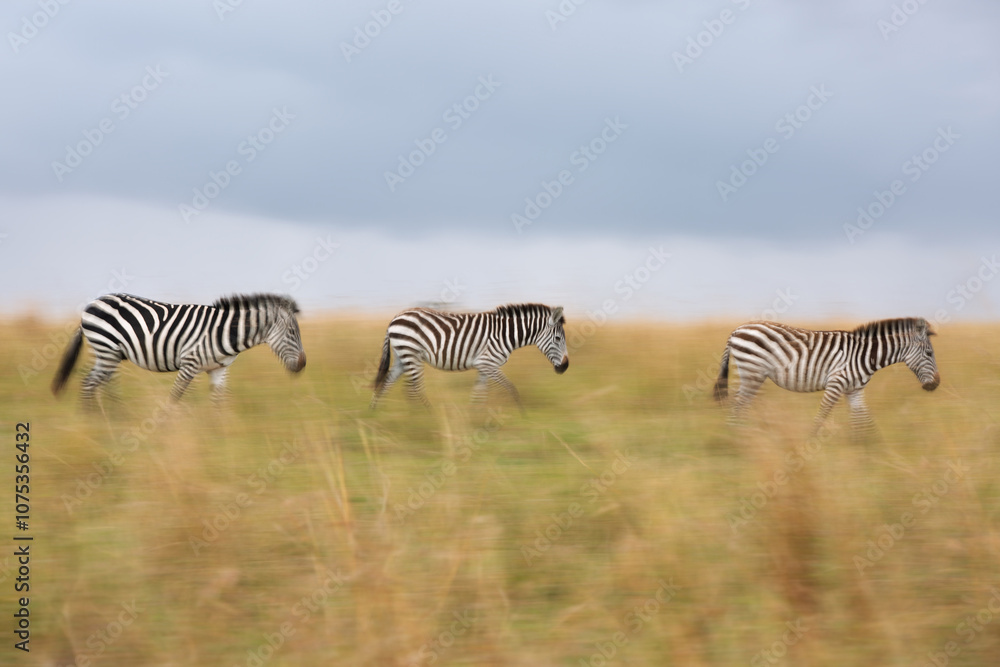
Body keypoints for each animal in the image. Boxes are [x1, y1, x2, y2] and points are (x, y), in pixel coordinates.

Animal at [51, 293, 306, 403]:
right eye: (292, 333)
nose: (303, 365)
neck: (224, 331)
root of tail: (91, 303)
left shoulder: (219, 369)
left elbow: (219, 402)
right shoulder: (190, 363)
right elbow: (175, 397)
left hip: (111, 354)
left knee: (101, 384)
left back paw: (111, 418)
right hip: (106, 349)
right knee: (89, 383)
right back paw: (95, 423)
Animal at [369, 303, 569, 411]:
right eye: (558, 339)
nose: (565, 367)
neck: (506, 334)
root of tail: (395, 317)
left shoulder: (483, 366)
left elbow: (479, 394)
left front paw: (474, 419)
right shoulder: (488, 363)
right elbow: (511, 388)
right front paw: (523, 414)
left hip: (402, 356)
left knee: (387, 383)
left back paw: (377, 413)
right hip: (411, 353)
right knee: (414, 388)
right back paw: (427, 415)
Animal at [713, 318, 940, 434]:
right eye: (929, 354)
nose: (936, 384)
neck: (865, 355)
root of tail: (736, 330)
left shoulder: (855, 390)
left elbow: (864, 422)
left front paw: (871, 451)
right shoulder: (836, 383)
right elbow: (821, 416)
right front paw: (808, 444)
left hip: (751, 374)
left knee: (740, 404)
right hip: (752, 372)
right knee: (738, 405)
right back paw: (736, 437)